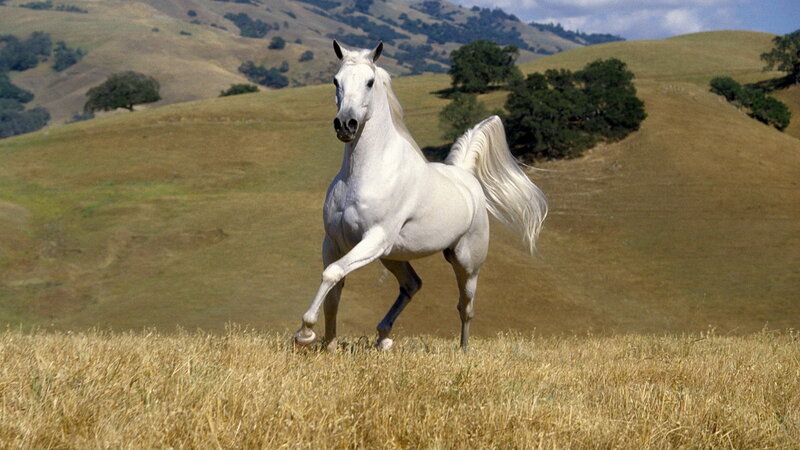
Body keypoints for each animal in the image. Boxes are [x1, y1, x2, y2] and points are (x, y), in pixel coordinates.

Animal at [293, 40, 547, 351]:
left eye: (369, 82)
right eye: (335, 80)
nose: (345, 124)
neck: (363, 173)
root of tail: (465, 176)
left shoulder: (374, 238)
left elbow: (332, 274)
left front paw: (305, 333)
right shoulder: (334, 242)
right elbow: (334, 289)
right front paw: (328, 346)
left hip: (465, 262)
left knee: (465, 307)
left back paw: (463, 350)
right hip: (392, 255)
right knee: (412, 284)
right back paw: (383, 337)